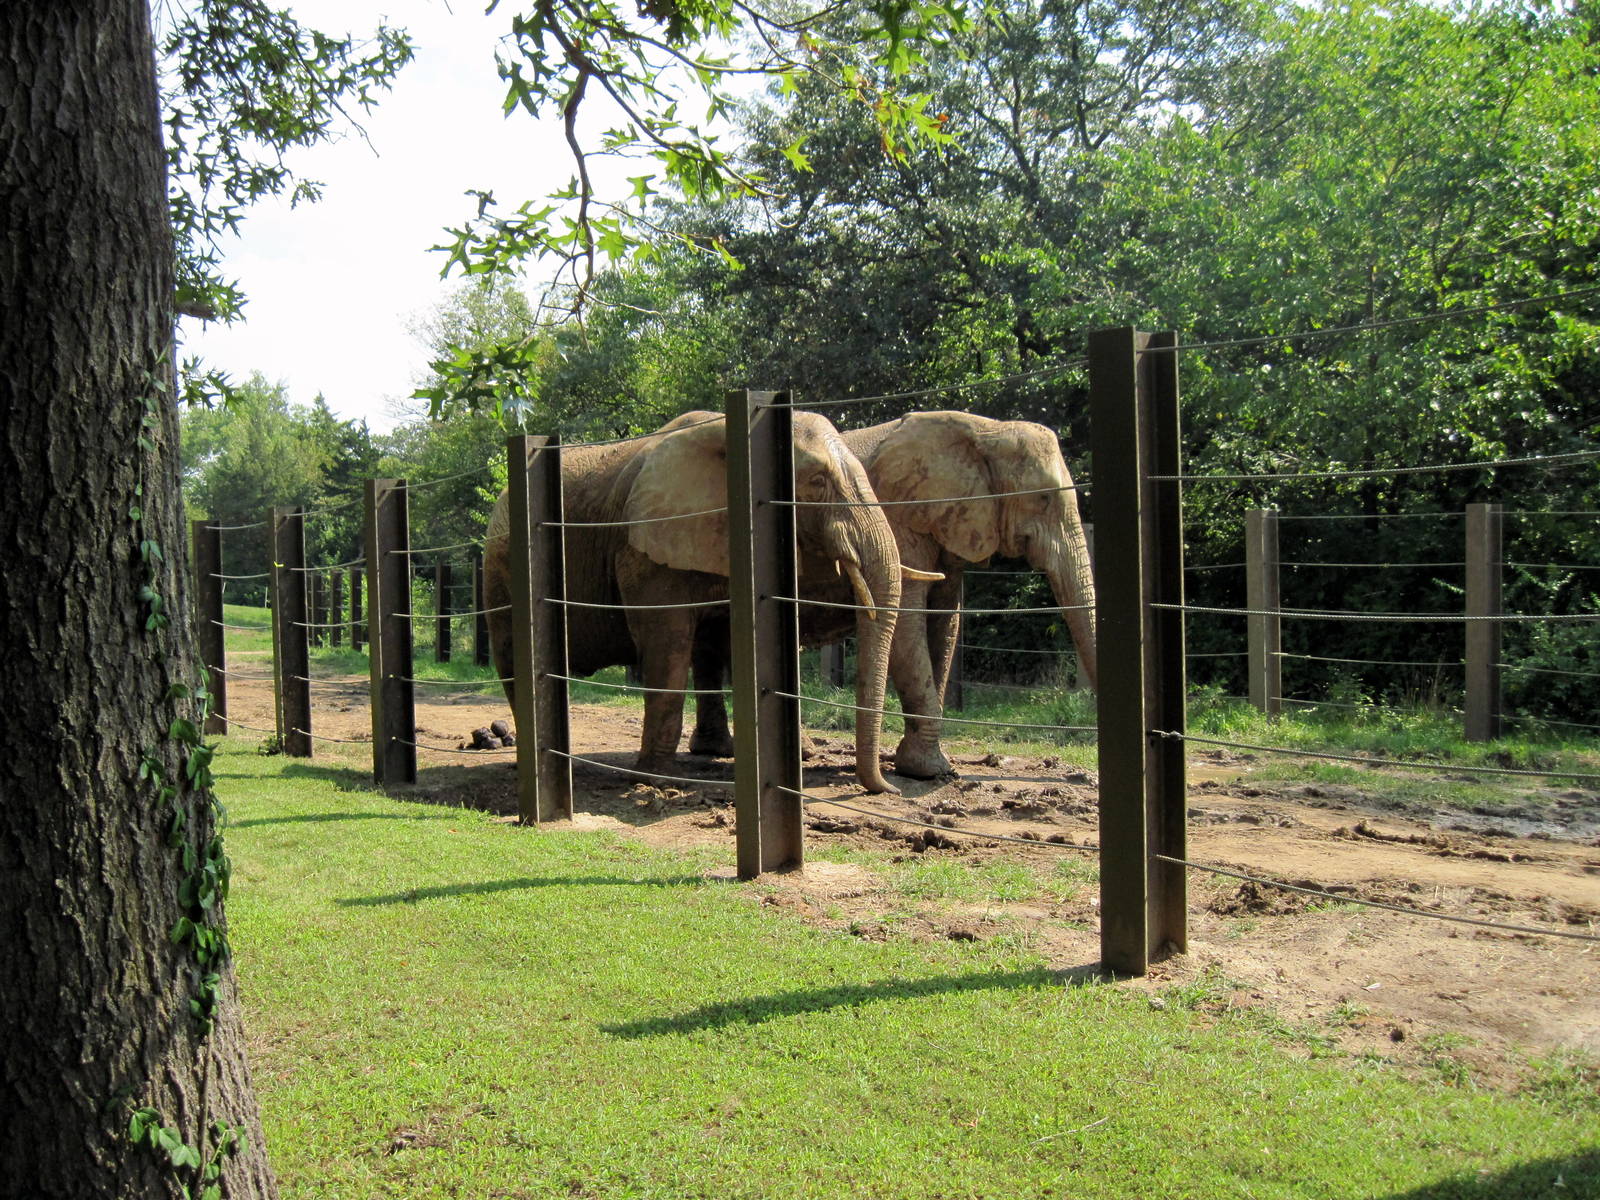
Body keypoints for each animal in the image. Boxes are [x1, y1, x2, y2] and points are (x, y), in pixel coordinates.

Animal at [484, 409, 940, 795]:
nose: (890, 788)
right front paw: (657, 781)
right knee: (514, 659)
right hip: (503, 568)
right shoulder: (644, 547)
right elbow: (667, 644)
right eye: (817, 482)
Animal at [688, 411, 1097, 779]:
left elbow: (945, 624)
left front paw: (925, 766)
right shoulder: (903, 517)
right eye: (1043, 498)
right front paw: (928, 772)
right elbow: (908, 622)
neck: (985, 430)